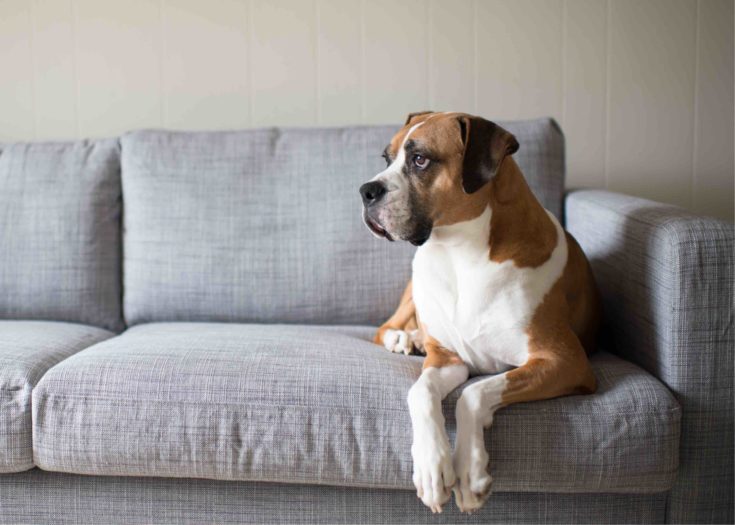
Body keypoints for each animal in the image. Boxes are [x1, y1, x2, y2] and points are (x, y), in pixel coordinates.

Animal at [360, 111, 600, 512]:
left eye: (420, 159)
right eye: (387, 158)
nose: (366, 190)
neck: (459, 251)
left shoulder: (564, 362)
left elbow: (473, 394)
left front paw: (469, 473)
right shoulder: (446, 359)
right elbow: (420, 393)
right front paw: (432, 466)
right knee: (385, 327)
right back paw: (404, 338)